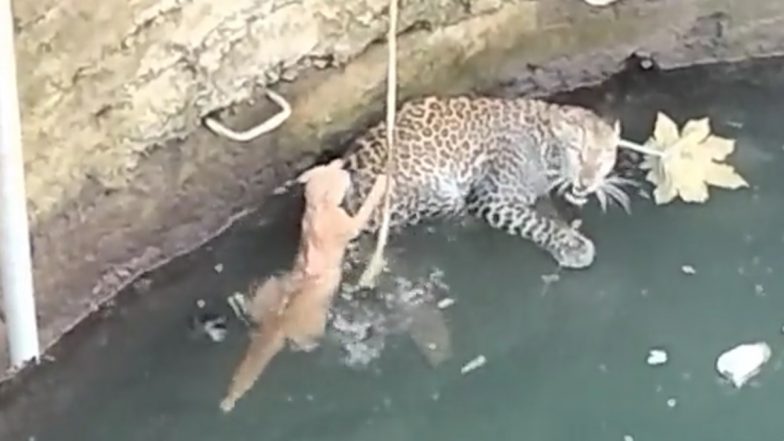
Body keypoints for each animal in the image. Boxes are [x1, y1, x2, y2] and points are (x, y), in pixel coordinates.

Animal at [339, 95, 634, 269]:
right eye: (577, 151)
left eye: (606, 157)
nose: (586, 183)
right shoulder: (492, 199)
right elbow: (535, 222)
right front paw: (572, 246)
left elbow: (548, 215)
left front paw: (571, 237)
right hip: (438, 194)